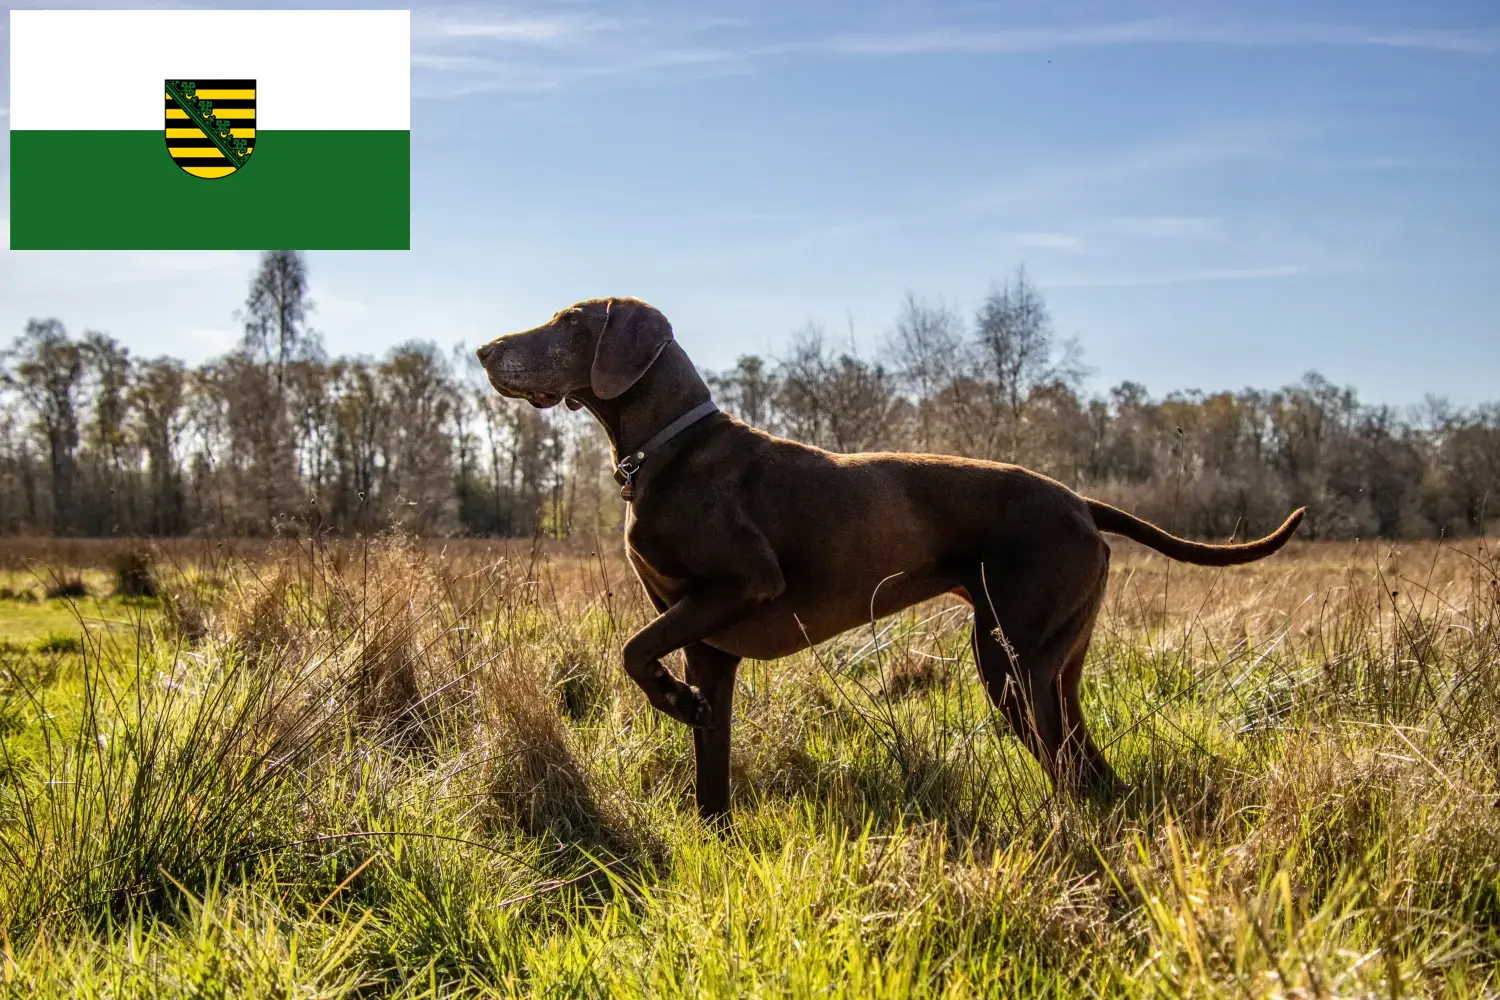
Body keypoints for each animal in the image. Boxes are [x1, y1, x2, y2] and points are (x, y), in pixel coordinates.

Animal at [480, 301, 1302, 815]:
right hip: (1050, 667)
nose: (484, 349)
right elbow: (707, 770)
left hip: (1015, 662)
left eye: (570, 322)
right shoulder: (709, 646)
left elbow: (631, 650)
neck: (668, 448)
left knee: (1069, 770)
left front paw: (672, 701)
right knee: (1089, 768)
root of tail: (1079, 502)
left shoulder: (740, 586)